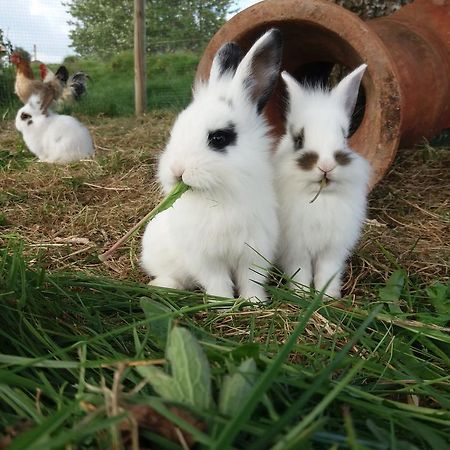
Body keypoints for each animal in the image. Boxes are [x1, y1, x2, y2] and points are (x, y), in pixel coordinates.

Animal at [141, 27, 284, 302]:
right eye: (175, 131)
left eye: (219, 138)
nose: (177, 171)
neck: (220, 195)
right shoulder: (205, 257)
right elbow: (217, 281)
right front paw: (222, 303)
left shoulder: (254, 250)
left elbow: (251, 280)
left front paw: (254, 302)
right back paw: (161, 286)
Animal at [276, 63, 370, 298]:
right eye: (299, 140)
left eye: (344, 137)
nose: (326, 166)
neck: (321, 197)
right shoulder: (296, 249)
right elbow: (300, 272)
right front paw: (300, 295)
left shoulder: (332, 251)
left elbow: (327, 274)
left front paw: (326, 297)